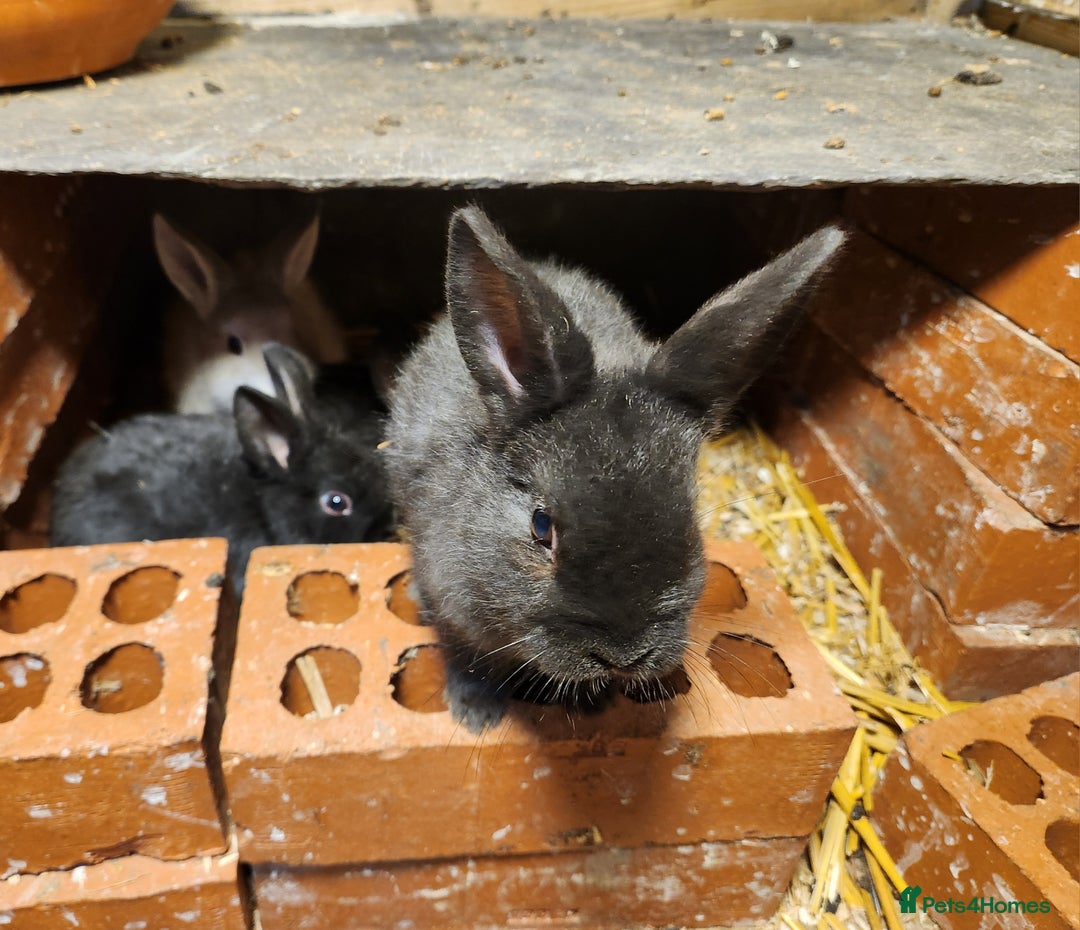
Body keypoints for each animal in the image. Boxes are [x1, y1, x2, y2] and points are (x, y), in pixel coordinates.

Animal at [385, 206, 845, 733]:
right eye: (541, 526)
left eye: (690, 519)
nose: (623, 656)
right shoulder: (453, 606)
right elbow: (467, 660)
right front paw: (476, 715)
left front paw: (594, 703)